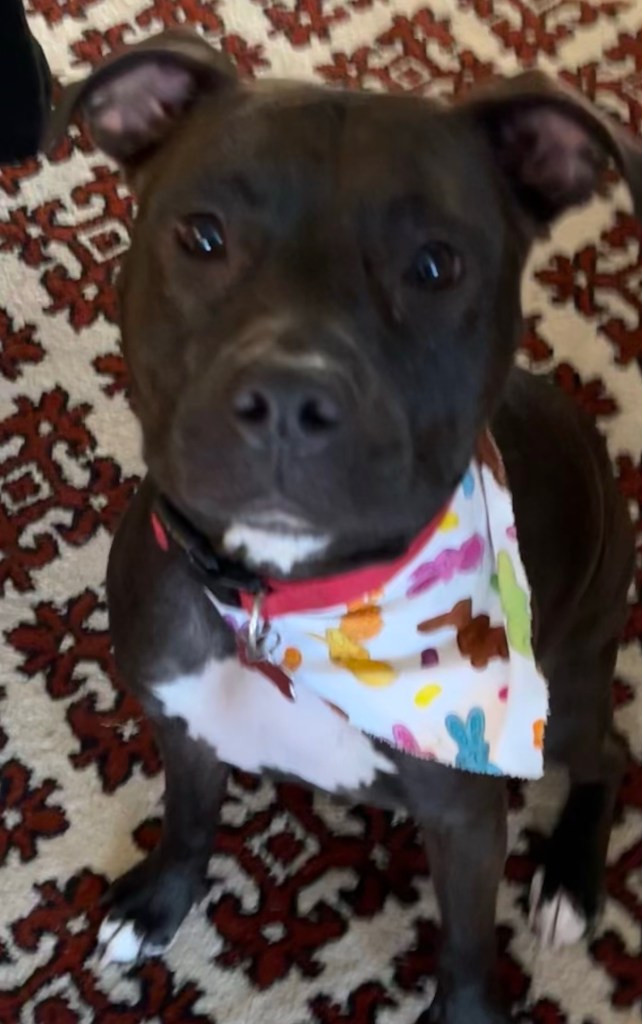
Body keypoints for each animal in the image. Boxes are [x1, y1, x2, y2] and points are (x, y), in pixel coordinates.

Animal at [51, 29, 642, 1024]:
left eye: (436, 265)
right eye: (202, 235)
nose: (290, 397)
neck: (289, 603)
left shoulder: (466, 821)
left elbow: (468, 947)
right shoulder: (183, 725)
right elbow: (187, 820)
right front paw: (160, 903)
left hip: (565, 696)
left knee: (611, 754)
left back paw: (568, 881)